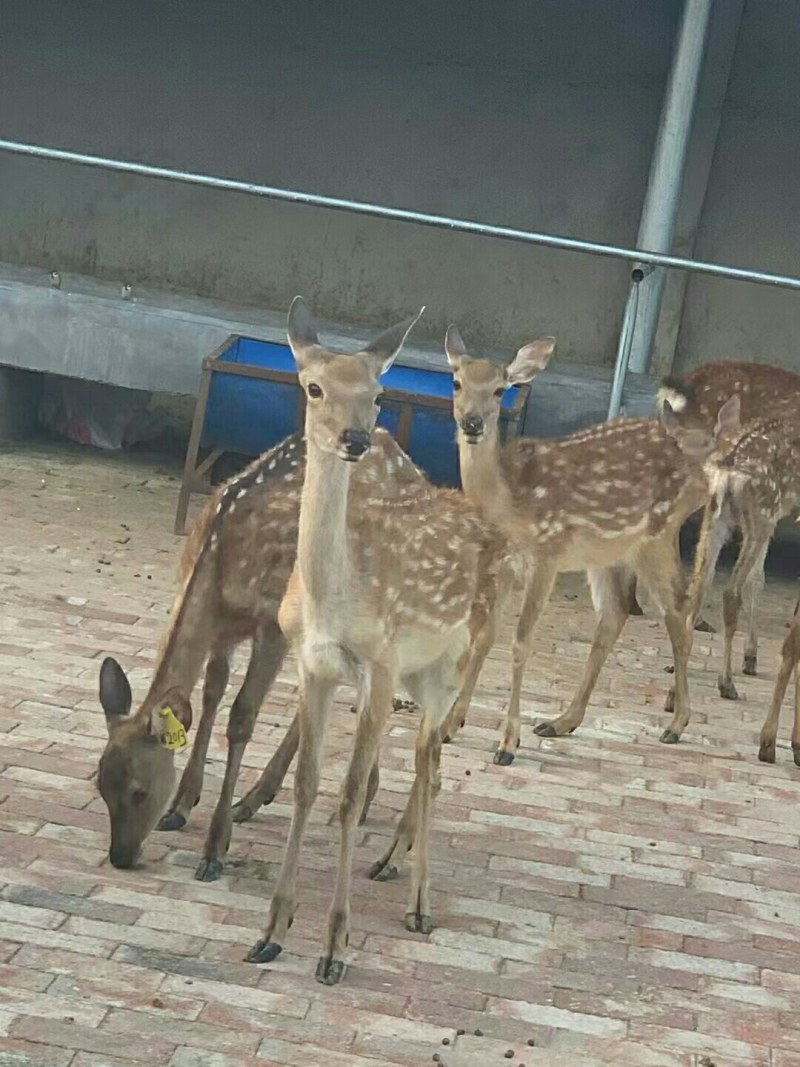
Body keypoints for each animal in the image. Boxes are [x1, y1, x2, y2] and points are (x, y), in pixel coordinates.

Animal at [243, 298, 510, 986]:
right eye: (313, 387)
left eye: (379, 393)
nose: (357, 439)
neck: (332, 600)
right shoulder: (314, 667)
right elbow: (308, 784)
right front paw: (271, 932)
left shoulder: (381, 666)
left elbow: (347, 795)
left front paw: (334, 948)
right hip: (416, 677)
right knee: (428, 763)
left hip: (449, 664)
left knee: (430, 761)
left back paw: (418, 900)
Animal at [439, 326, 740, 764]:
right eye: (456, 382)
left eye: (499, 390)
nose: (472, 423)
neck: (511, 501)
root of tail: (704, 459)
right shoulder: (504, 560)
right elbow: (484, 637)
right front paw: (449, 726)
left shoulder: (547, 553)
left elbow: (520, 642)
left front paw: (507, 743)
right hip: (607, 552)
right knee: (614, 615)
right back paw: (561, 720)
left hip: (658, 533)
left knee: (678, 613)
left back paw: (676, 724)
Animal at [656, 362, 800, 700]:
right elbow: (755, 580)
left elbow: (757, 578)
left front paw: (751, 657)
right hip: (757, 514)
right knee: (729, 590)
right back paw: (725, 682)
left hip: (719, 515)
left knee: (698, 584)